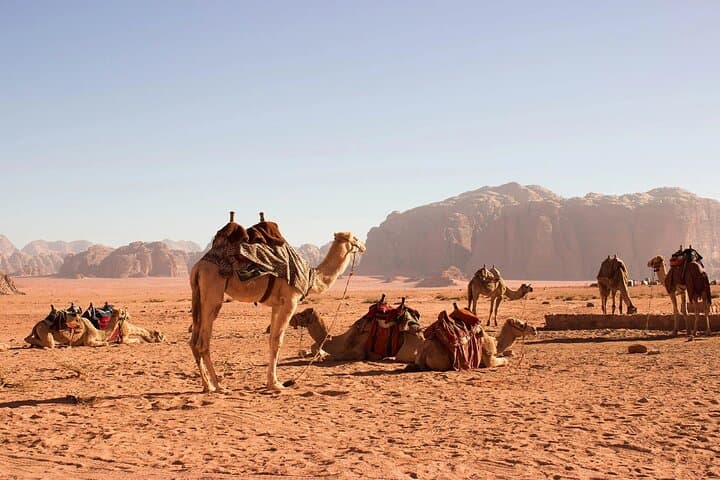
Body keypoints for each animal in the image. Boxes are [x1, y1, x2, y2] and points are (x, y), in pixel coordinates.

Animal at [24, 306, 164, 348]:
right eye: (123, 312)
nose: (129, 316)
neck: (99, 332)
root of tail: (37, 324)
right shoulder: (89, 340)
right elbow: (105, 343)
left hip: (39, 330)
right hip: (44, 331)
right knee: (49, 343)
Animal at [190, 217, 366, 392]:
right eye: (355, 238)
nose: (363, 246)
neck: (311, 276)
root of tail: (197, 267)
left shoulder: (276, 305)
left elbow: (271, 340)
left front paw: (271, 381)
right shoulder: (290, 301)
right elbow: (277, 341)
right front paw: (276, 384)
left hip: (198, 298)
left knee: (193, 341)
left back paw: (207, 385)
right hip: (213, 297)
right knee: (202, 342)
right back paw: (218, 386)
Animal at [289, 303, 424, 363]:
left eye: (302, 314)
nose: (291, 319)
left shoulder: (359, 352)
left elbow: (335, 356)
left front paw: (323, 357)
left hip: (407, 348)